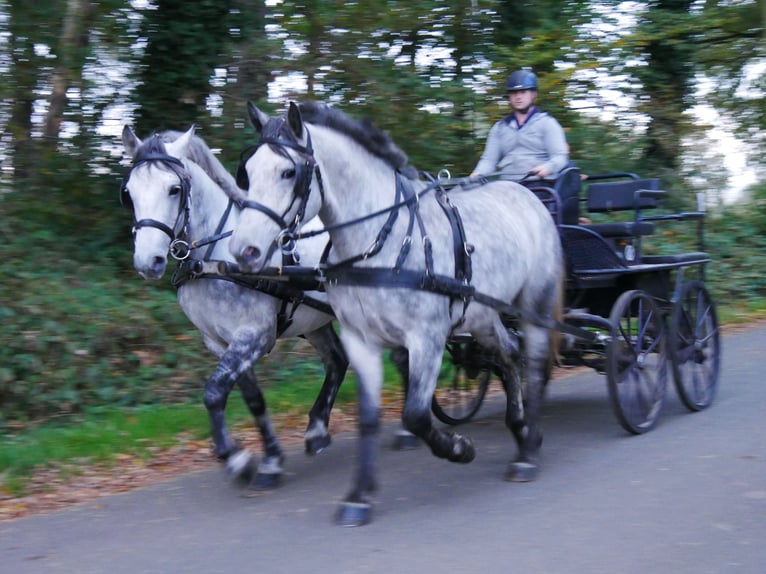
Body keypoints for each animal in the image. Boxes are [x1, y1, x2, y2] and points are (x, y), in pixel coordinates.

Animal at [121, 127, 350, 490]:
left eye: (174, 189)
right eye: (128, 193)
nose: (148, 262)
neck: (215, 259)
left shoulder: (254, 336)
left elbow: (214, 393)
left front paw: (235, 457)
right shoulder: (221, 343)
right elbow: (253, 399)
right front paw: (269, 460)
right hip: (315, 322)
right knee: (338, 362)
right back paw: (317, 431)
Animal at [228, 102, 564, 528]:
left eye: (288, 172)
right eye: (248, 172)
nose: (244, 251)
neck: (380, 243)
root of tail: (525, 192)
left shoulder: (427, 338)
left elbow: (416, 415)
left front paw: (459, 448)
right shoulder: (361, 341)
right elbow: (369, 418)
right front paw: (358, 496)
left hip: (535, 307)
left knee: (533, 364)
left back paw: (529, 450)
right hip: (483, 316)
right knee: (508, 355)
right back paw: (520, 430)